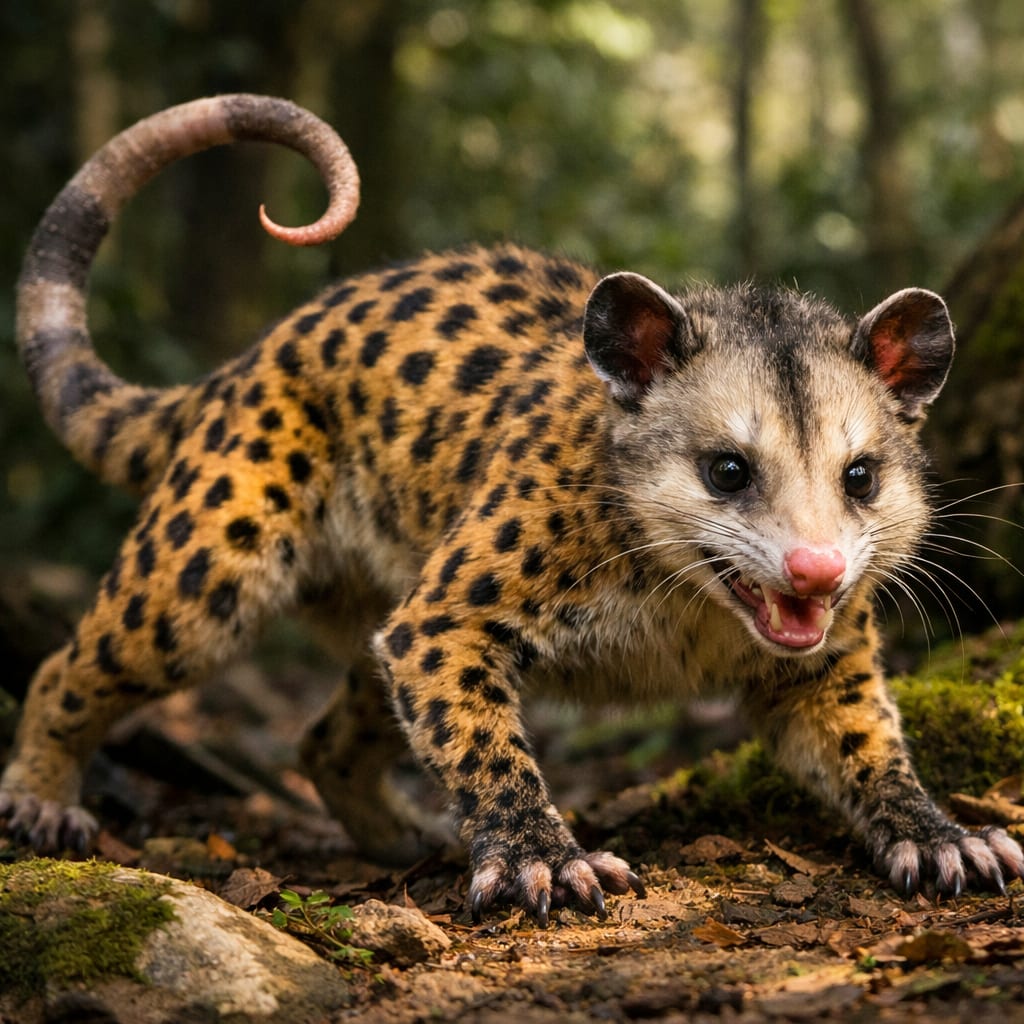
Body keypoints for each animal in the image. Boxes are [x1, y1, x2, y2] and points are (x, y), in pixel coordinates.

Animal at [4, 94, 1022, 926]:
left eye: (861, 476)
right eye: (727, 469)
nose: (817, 571)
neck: (687, 607)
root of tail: (247, 361)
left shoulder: (826, 665)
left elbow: (869, 743)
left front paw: (938, 834)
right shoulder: (442, 619)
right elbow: (483, 741)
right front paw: (544, 858)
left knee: (326, 737)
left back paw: (405, 837)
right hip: (205, 571)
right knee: (69, 663)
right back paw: (43, 796)